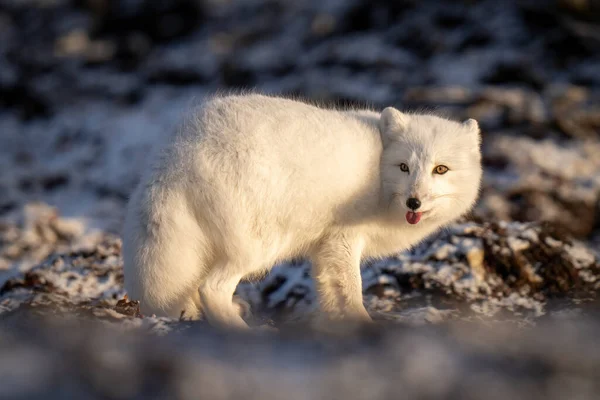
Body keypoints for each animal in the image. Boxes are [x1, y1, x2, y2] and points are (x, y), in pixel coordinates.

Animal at [123, 94, 482, 328]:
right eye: (404, 167)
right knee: (211, 289)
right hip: (259, 246)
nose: (413, 202)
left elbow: (331, 295)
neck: (379, 174)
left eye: (440, 169)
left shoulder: (324, 250)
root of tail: (177, 152)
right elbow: (352, 293)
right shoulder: (343, 239)